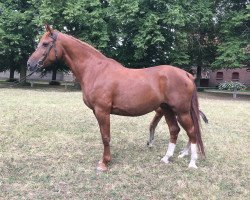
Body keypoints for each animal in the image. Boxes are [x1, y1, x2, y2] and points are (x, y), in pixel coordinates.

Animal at [27, 25, 207, 171]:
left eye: (45, 44)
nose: (30, 64)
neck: (95, 70)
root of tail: (186, 74)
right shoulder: (98, 112)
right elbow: (103, 135)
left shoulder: (102, 111)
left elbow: (106, 136)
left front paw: (104, 163)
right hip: (167, 109)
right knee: (175, 130)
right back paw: (166, 158)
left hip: (181, 111)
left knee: (192, 132)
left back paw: (192, 162)